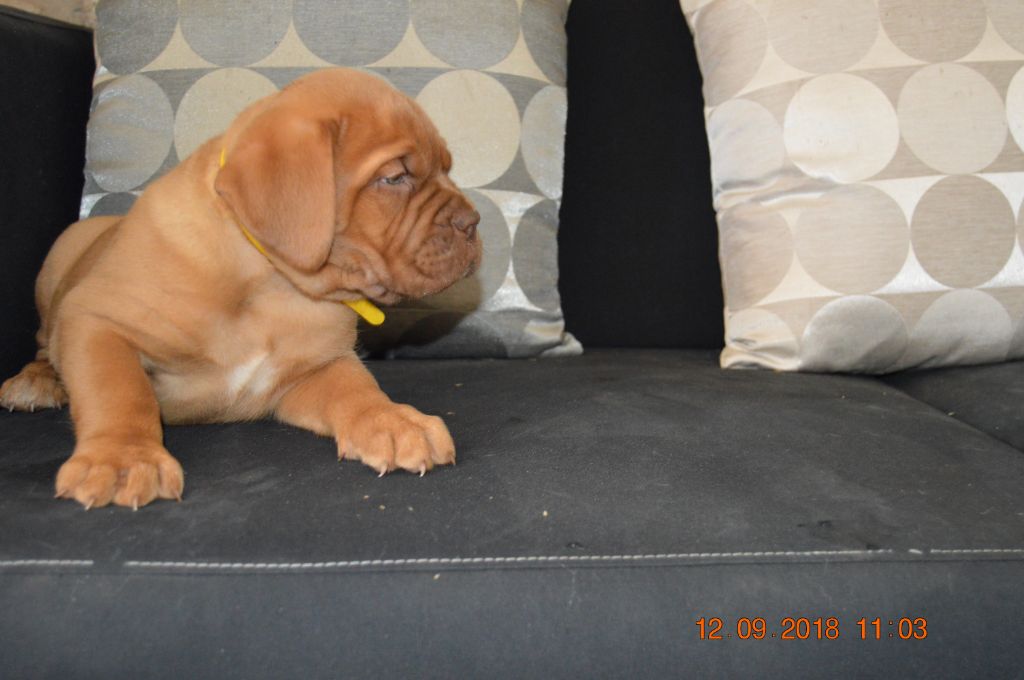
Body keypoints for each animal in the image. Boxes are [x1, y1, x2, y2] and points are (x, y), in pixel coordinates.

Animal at [0, 68, 482, 509]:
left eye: (447, 168)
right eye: (395, 178)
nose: (473, 223)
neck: (271, 283)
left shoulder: (314, 367)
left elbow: (358, 388)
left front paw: (393, 421)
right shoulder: (97, 318)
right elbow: (118, 390)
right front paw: (123, 458)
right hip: (60, 261)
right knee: (45, 343)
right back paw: (36, 382)